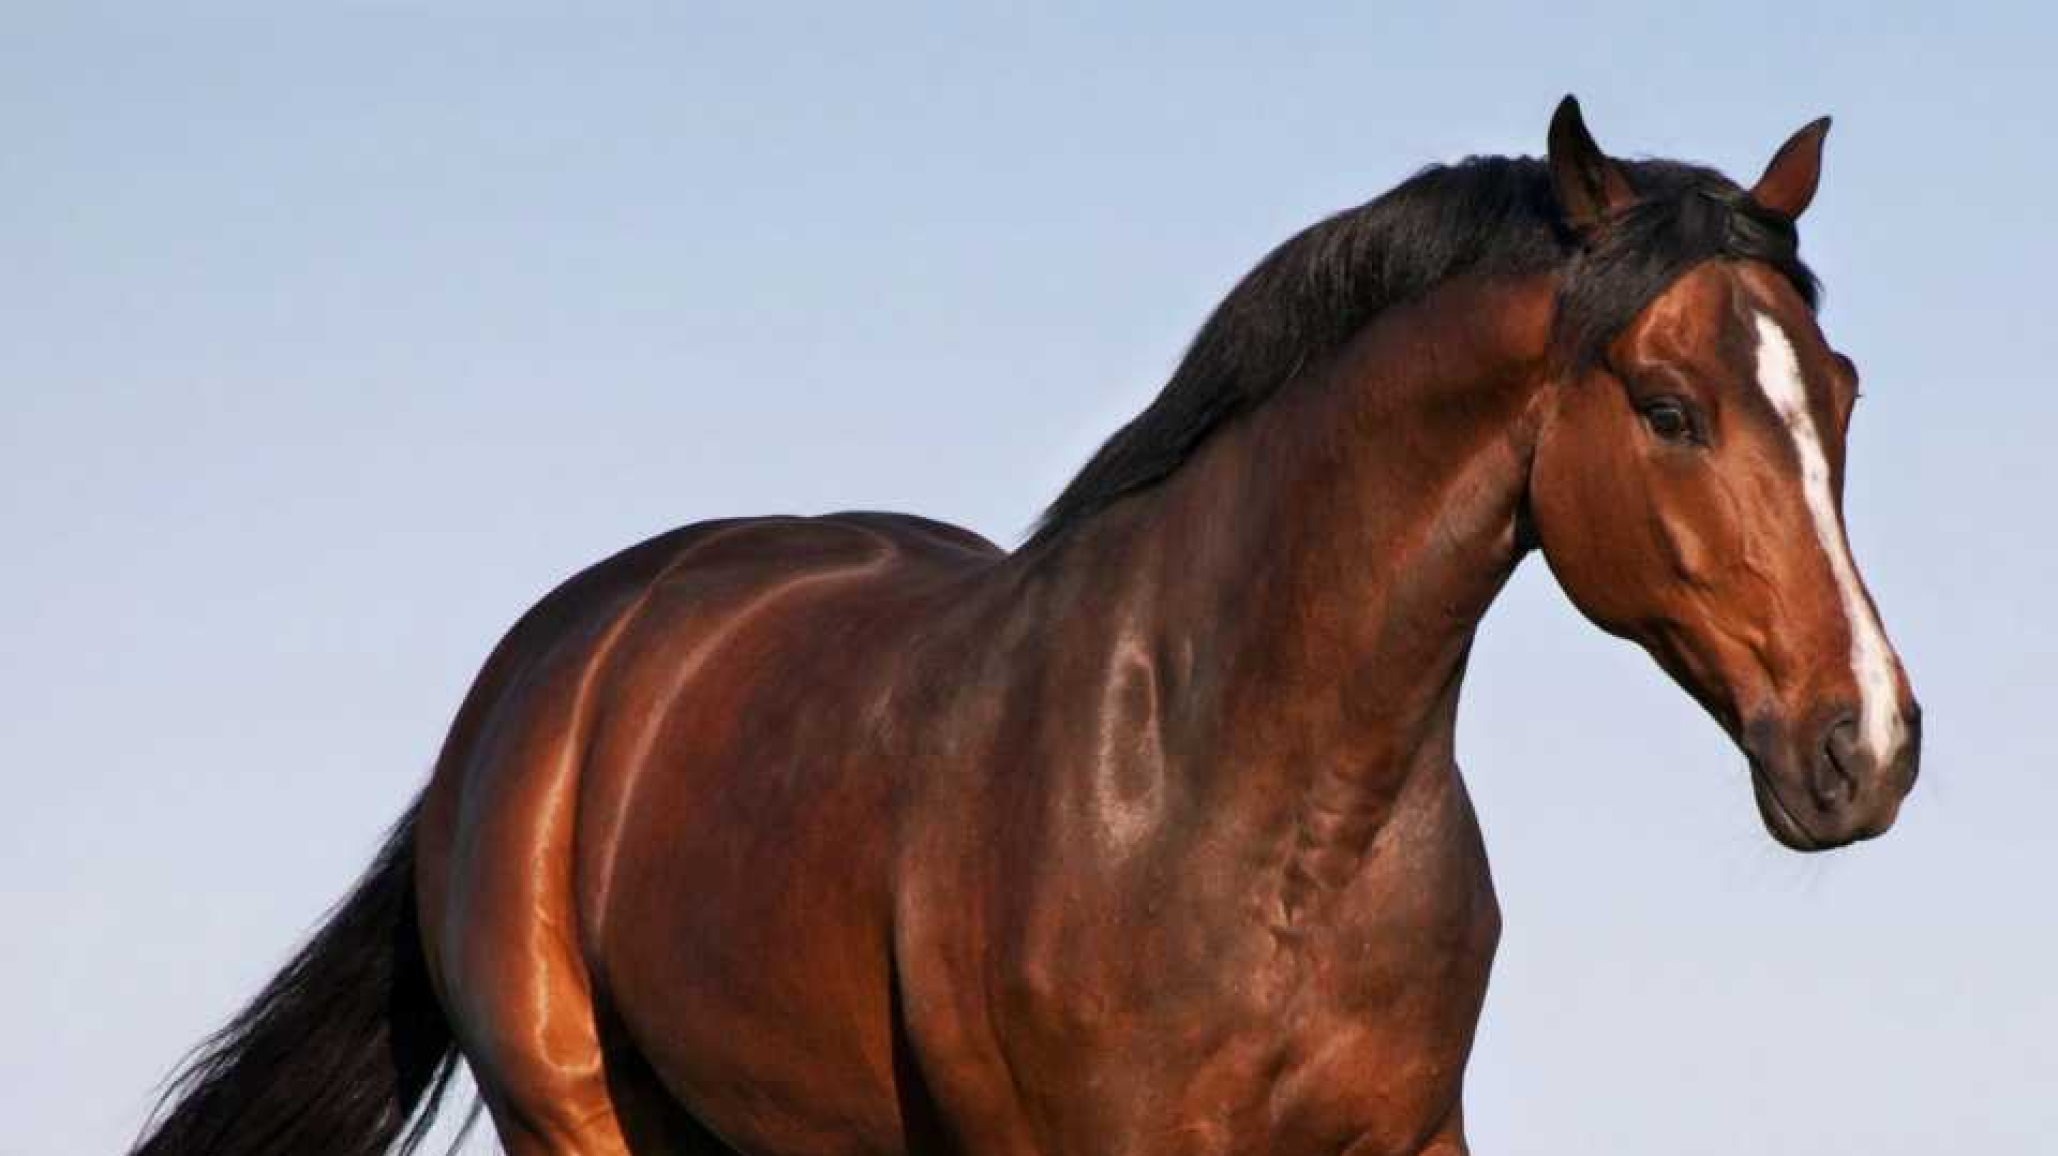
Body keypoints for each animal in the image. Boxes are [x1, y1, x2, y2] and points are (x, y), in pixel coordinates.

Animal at [134, 96, 1920, 1156]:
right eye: (1671, 409)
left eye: (1836, 391)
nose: (1867, 745)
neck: (1239, 803)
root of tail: (554, 666)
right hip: (571, 1117)